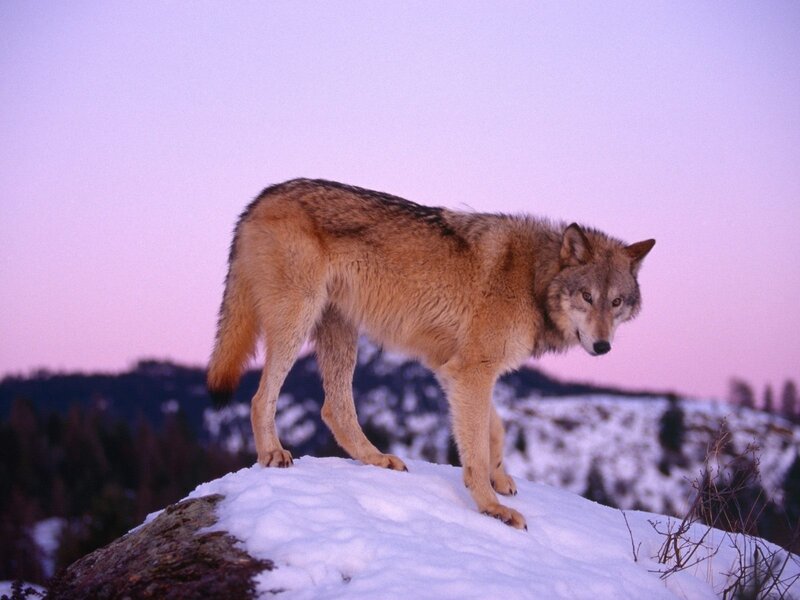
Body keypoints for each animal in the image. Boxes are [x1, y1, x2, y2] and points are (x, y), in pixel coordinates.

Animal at [207, 179, 654, 529]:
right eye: (586, 296)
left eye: (616, 302)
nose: (602, 346)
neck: (533, 278)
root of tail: (262, 197)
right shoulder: (471, 372)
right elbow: (476, 447)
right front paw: (491, 507)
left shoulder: (455, 369)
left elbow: (494, 429)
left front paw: (499, 479)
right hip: (297, 321)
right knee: (260, 397)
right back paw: (272, 454)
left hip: (341, 332)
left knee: (334, 409)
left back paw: (377, 459)